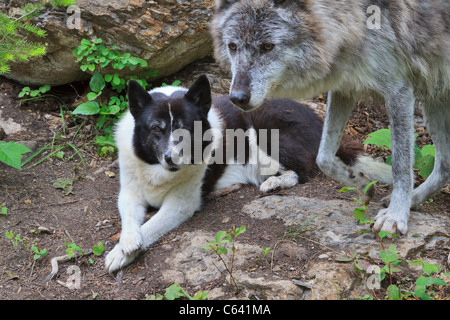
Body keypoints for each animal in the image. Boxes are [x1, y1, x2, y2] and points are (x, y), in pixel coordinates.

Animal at [103, 75, 390, 272]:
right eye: (156, 129)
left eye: (186, 128)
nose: (172, 159)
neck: (156, 170)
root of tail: (320, 122)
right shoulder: (129, 193)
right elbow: (130, 219)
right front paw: (126, 244)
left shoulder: (181, 205)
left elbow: (151, 226)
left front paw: (121, 253)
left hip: (264, 136)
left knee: (302, 171)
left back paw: (274, 184)